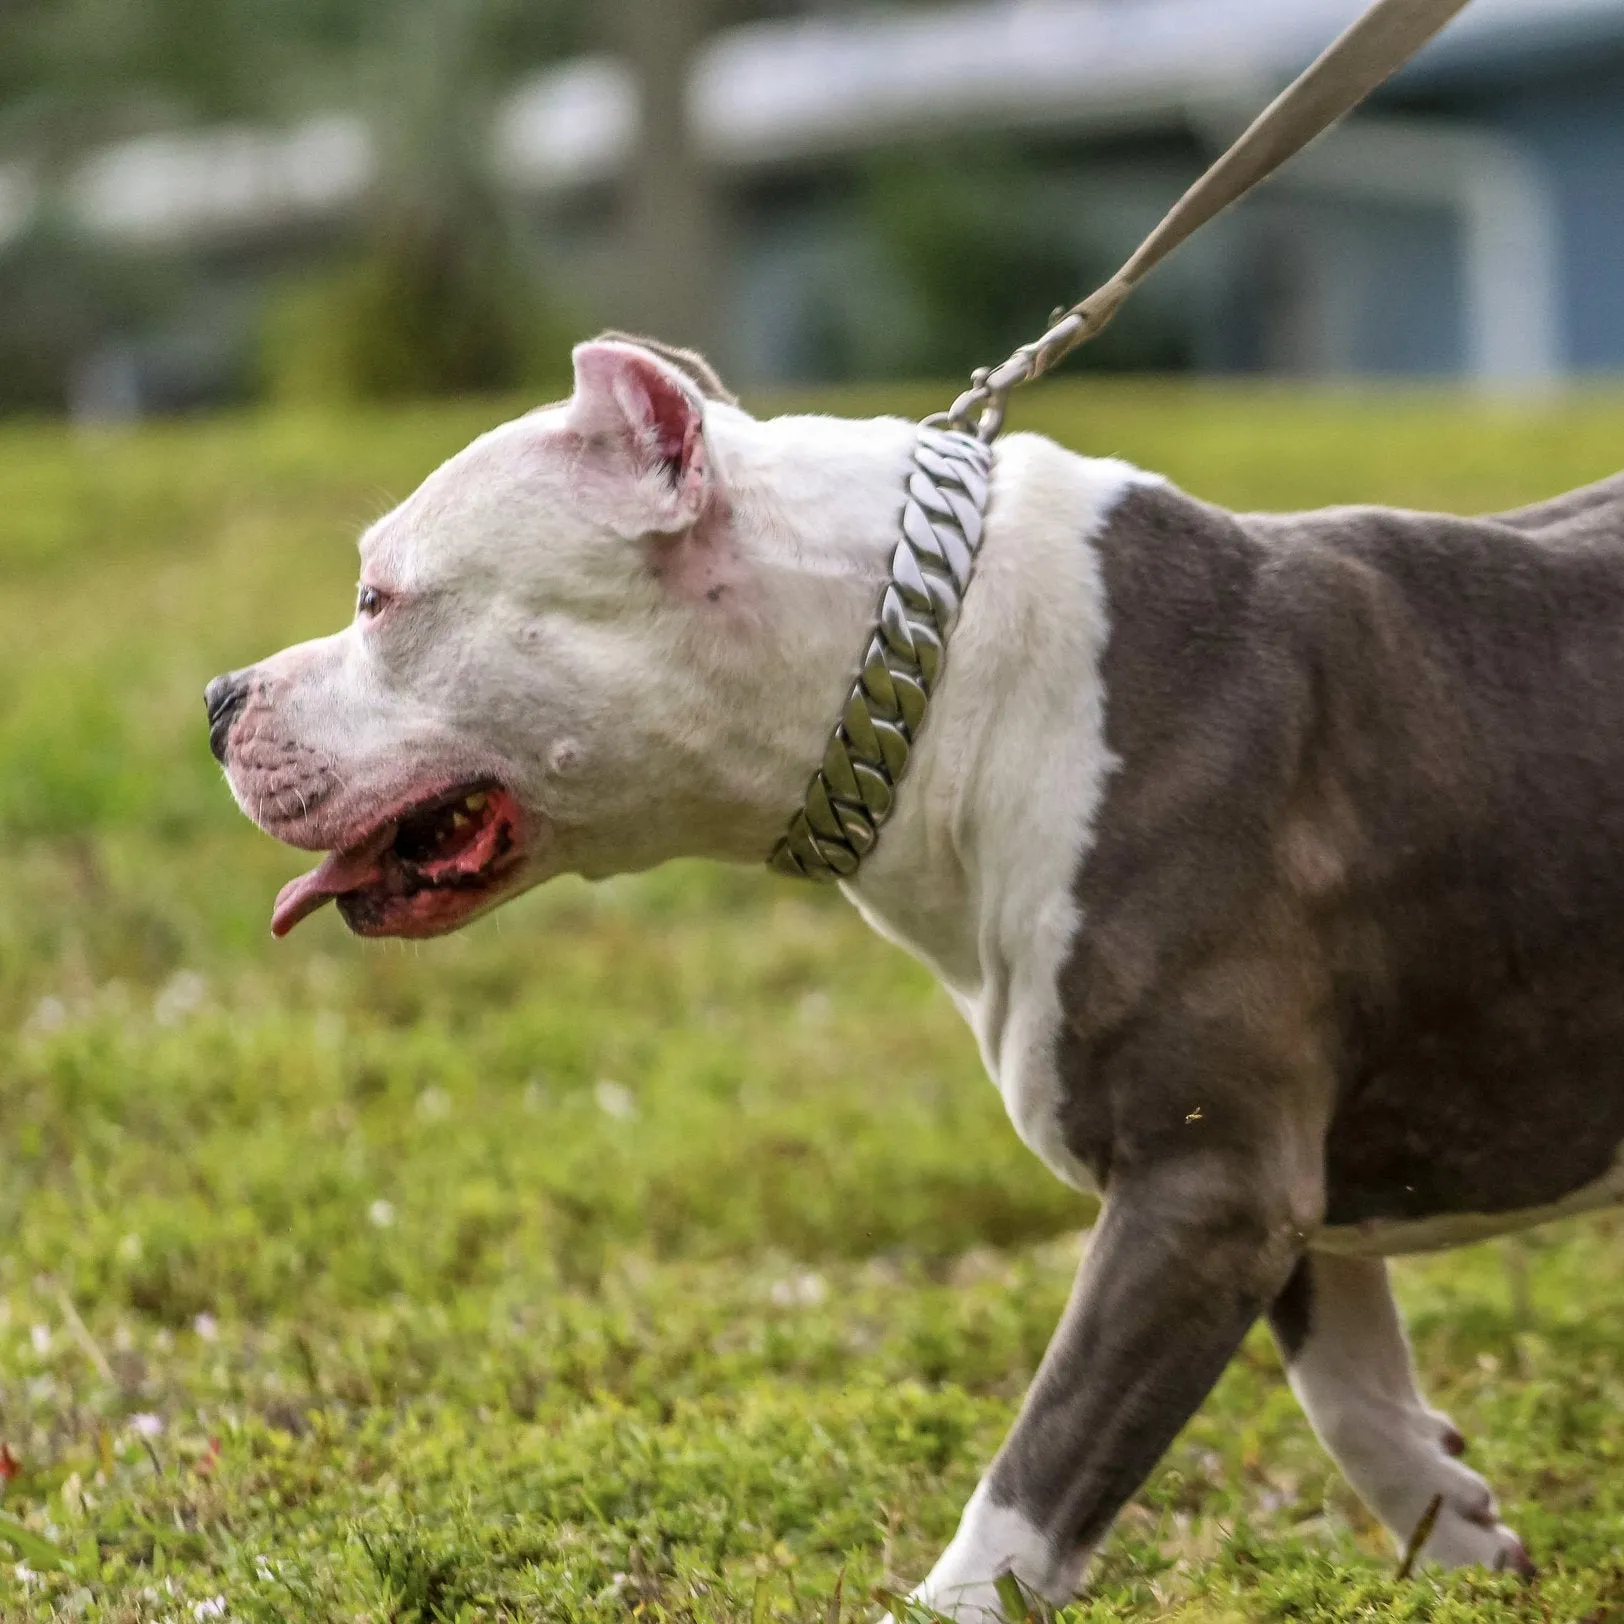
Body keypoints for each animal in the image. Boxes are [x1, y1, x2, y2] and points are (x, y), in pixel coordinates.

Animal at [209, 336, 1624, 1617]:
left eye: (380, 599)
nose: (218, 697)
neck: (941, 680)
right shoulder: (1268, 1179)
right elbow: (1350, 1388)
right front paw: (1460, 1534)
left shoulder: (1205, 1182)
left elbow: (1036, 1476)